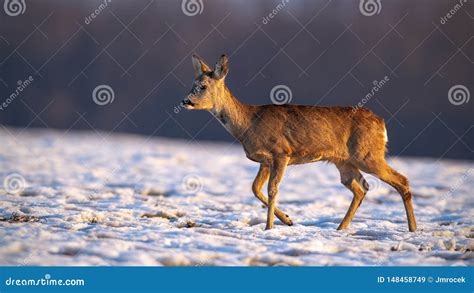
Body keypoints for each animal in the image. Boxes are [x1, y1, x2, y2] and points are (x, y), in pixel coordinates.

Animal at [180, 53, 416, 230]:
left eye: (202, 86)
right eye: (192, 84)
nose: (185, 101)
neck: (247, 124)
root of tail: (381, 123)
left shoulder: (281, 153)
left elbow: (272, 189)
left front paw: (269, 227)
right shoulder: (265, 160)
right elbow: (255, 188)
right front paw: (288, 219)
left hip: (367, 154)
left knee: (402, 180)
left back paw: (413, 229)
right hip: (345, 162)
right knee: (361, 188)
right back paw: (341, 228)